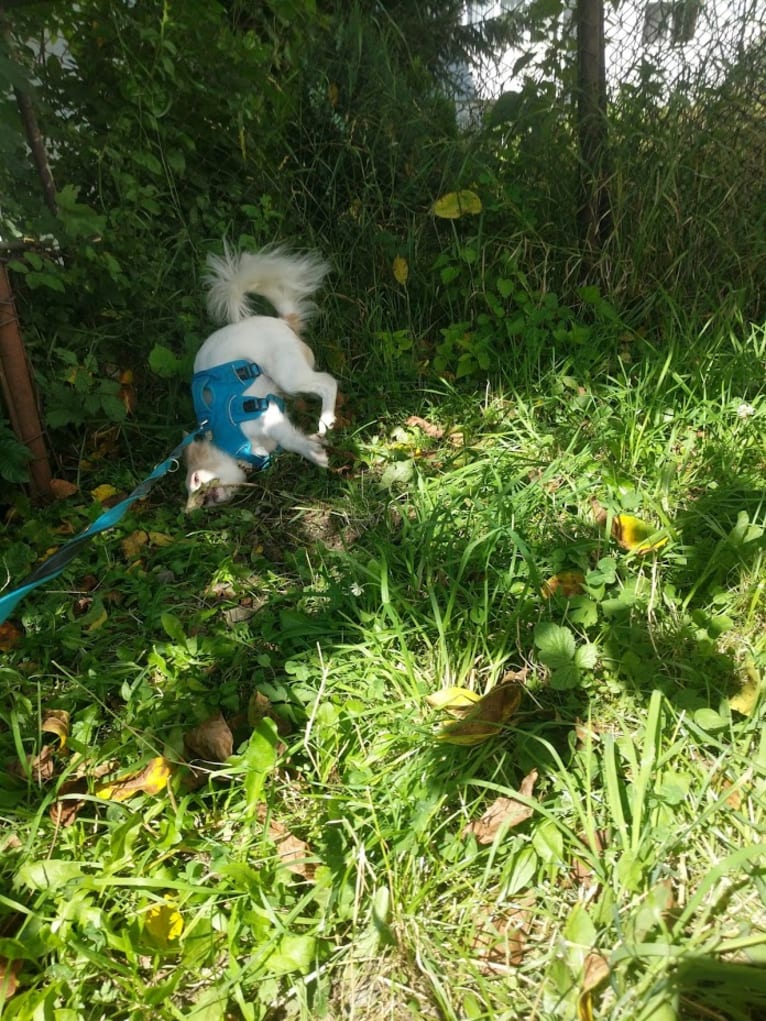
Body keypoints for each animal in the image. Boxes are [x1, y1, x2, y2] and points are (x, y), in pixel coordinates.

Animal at [184, 244, 337, 506]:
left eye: (196, 480)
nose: (195, 506)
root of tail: (282, 322)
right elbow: (294, 438)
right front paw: (313, 444)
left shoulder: (267, 415)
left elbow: (290, 441)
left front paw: (314, 455)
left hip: (287, 373)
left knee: (328, 382)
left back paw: (326, 419)